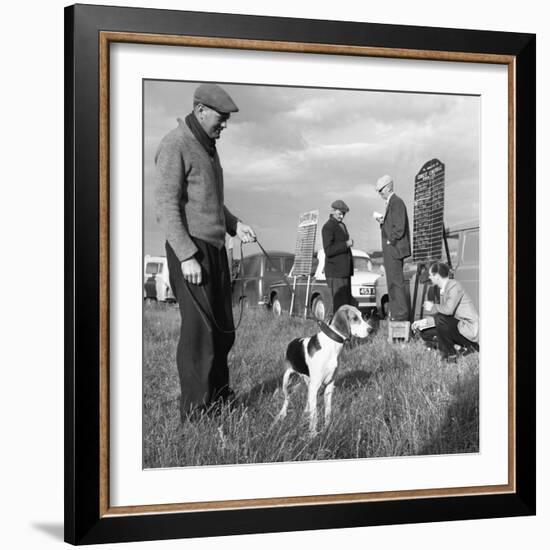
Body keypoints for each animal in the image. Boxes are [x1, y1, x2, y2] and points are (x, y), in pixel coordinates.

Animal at [276, 306, 376, 436]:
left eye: (362, 316)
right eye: (354, 318)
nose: (371, 330)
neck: (332, 345)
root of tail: (292, 341)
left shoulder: (329, 385)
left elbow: (328, 411)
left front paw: (327, 428)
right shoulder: (316, 386)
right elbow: (315, 415)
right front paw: (313, 434)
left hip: (309, 383)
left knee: (307, 400)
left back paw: (305, 412)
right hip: (287, 380)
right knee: (287, 398)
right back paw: (282, 414)